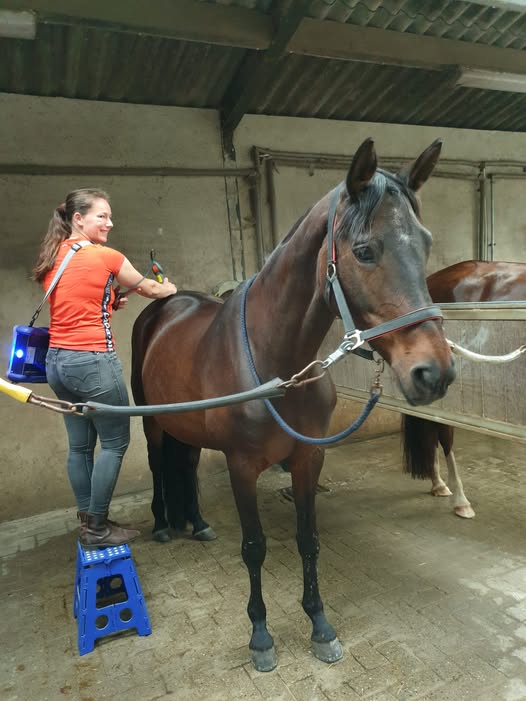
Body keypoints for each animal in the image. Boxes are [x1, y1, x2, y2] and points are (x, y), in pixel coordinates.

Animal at [130, 137, 456, 672]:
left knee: (189, 464)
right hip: (154, 424)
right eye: (364, 251)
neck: (275, 364)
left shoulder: (308, 458)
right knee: (160, 465)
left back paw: (196, 523)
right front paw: (261, 636)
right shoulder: (241, 466)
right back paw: (161, 525)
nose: (436, 373)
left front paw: (320, 626)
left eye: (426, 243)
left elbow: (309, 540)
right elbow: (254, 547)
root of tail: (163, 306)